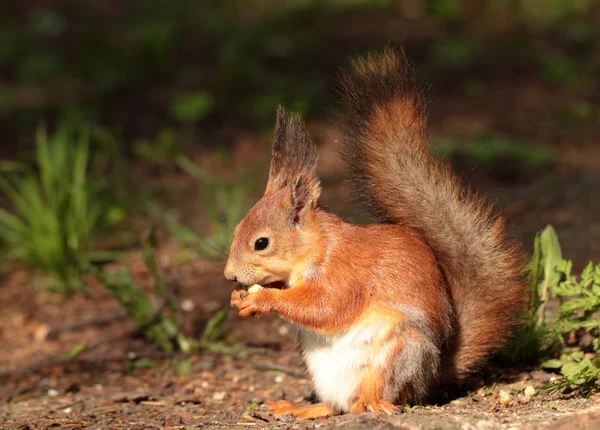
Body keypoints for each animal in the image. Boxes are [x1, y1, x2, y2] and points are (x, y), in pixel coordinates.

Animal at [224, 47, 524, 420]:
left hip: (401, 350)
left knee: (373, 396)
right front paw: (239, 299)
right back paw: (300, 408)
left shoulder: (345, 274)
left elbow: (326, 307)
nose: (229, 275)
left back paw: (372, 403)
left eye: (261, 243)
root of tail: (432, 376)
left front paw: (263, 299)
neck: (318, 246)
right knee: (335, 405)